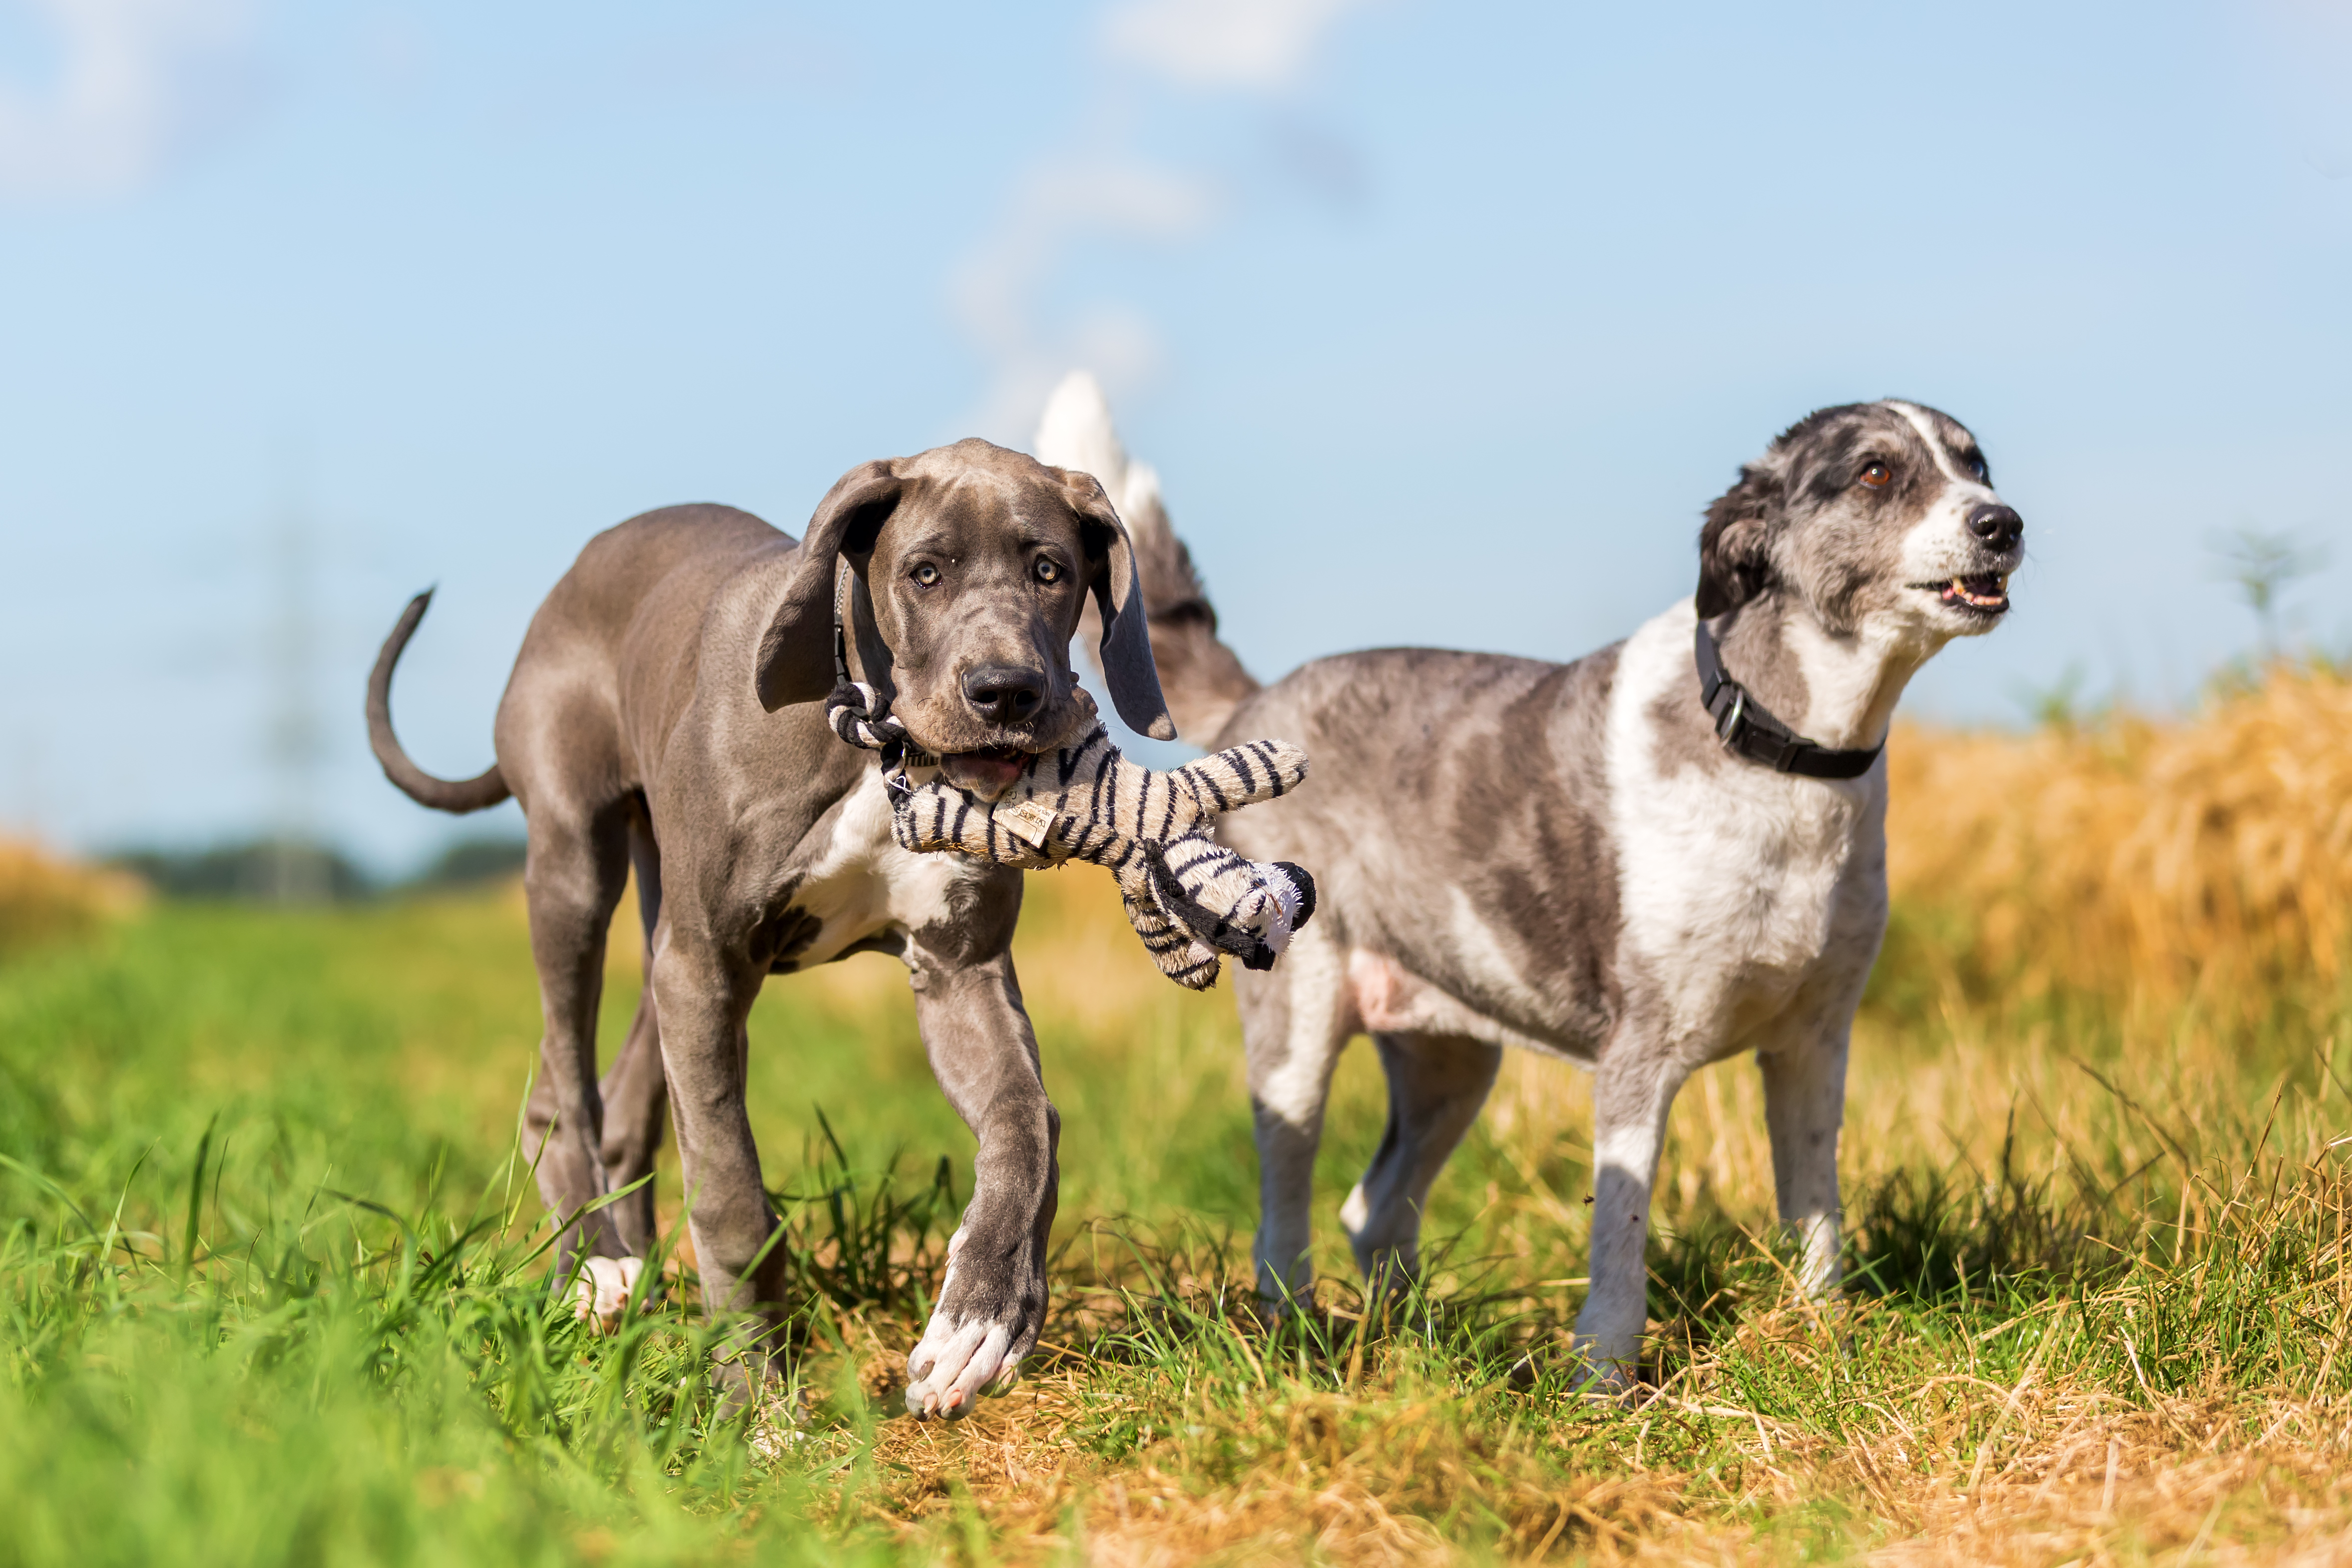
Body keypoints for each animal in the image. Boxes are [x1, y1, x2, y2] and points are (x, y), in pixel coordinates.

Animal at [367, 435, 1176, 1420]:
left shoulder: (960, 969)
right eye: (926, 571)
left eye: (1050, 570)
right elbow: (729, 1192)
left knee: (624, 1096)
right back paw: (595, 1265)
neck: (873, 742)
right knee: (563, 1083)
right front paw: (754, 1401)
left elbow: (1028, 1120)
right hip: (574, 866)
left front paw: (979, 1317)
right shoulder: (708, 964)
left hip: (664, 924)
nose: (1006, 692)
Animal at [1039, 374, 2032, 1382]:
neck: (1778, 754)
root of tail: (1260, 698)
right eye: (1875, 471)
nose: (2002, 522)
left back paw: (1417, 1342)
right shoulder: (1641, 1054)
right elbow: (1621, 1228)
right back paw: (1295, 1329)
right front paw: (1603, 1375)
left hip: (1450, 1061)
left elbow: (1815, 1210)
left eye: (1976, 464)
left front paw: (1821, 1338)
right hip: (1298, 1031)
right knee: (1286, 1204)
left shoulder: (1812, 1046)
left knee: (1374, 1206)